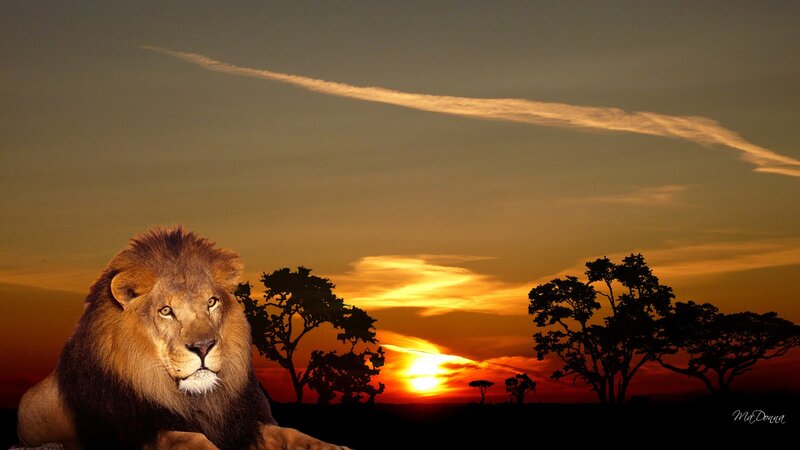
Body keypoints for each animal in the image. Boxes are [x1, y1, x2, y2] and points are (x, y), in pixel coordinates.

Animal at [17, 227, 348, 450]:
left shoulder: (241, 423)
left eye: (211, 302)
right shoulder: (137, 431)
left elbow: (290, 433)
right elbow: (188, 438)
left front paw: (332, 446)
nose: (203, 347)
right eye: (166, 311)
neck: (197, 400)